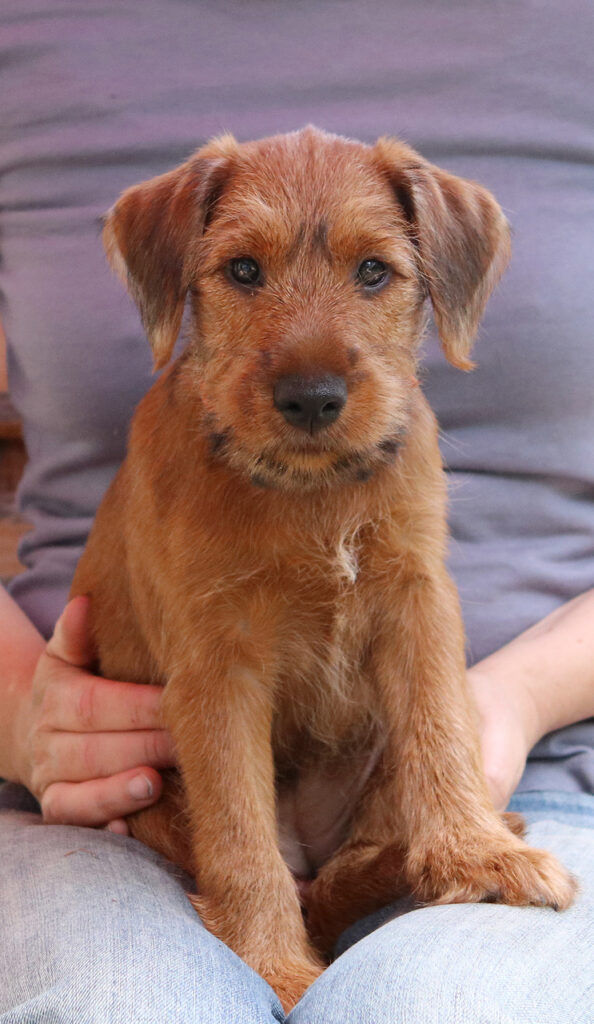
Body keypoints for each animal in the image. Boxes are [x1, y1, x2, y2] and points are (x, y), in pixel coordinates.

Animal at [71, 125, 577, 1007]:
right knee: (289, 872)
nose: (312, 396)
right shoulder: (218, 670)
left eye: (374, 271)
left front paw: (475, 852)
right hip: (159, 802)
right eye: (243, 270)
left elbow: (440, 731)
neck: (314, 495)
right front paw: (276, 967)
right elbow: (241, 838)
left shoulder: (418, 603)